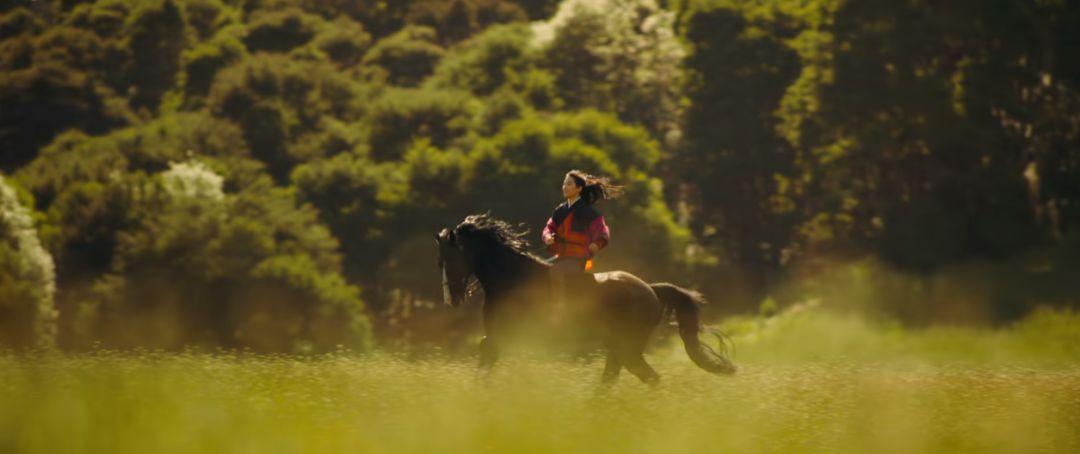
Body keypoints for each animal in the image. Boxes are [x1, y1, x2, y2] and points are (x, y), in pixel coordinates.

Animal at [436, 215, 734, 384]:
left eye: (451, 257)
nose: (451, 299)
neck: (513, 279)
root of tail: (650, 290)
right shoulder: (500, 338)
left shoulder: (503, 337)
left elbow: (485, 360)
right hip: (618, 349)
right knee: (619, 380)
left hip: (627, 348)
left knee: (645, 378)